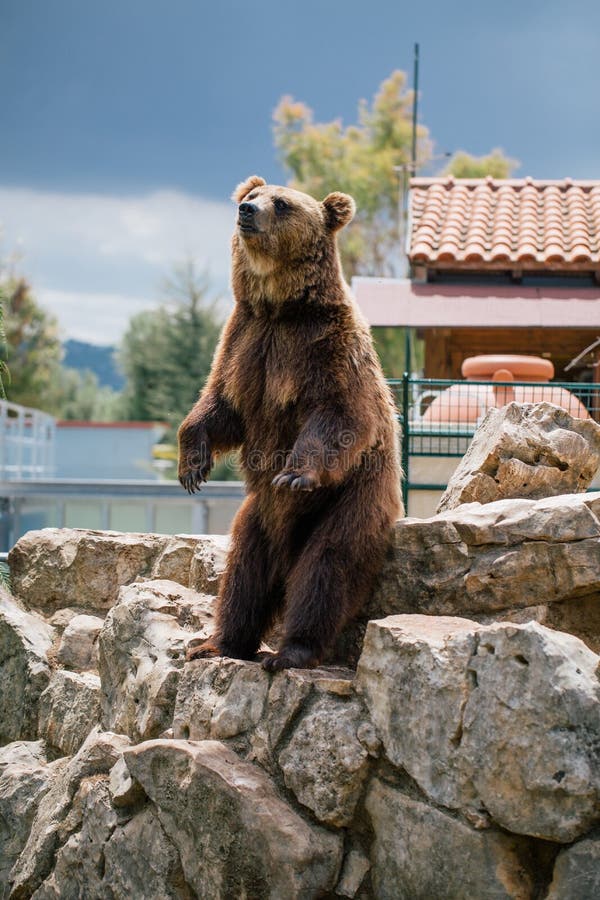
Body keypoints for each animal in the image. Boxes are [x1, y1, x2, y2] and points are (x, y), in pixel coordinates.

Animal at [177, 176, 404, 668]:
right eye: (253, 195)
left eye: (281, 204)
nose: (245, 210)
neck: (279, 308)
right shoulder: (245, 342)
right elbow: (221, 406)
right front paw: (192, 466)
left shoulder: (325, 347)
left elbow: (339, 415)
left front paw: (295, 474)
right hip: (256, 517)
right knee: (243, 574)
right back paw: (217, 643)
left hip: (351, 503)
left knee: (326, 567)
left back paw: (291, 650)